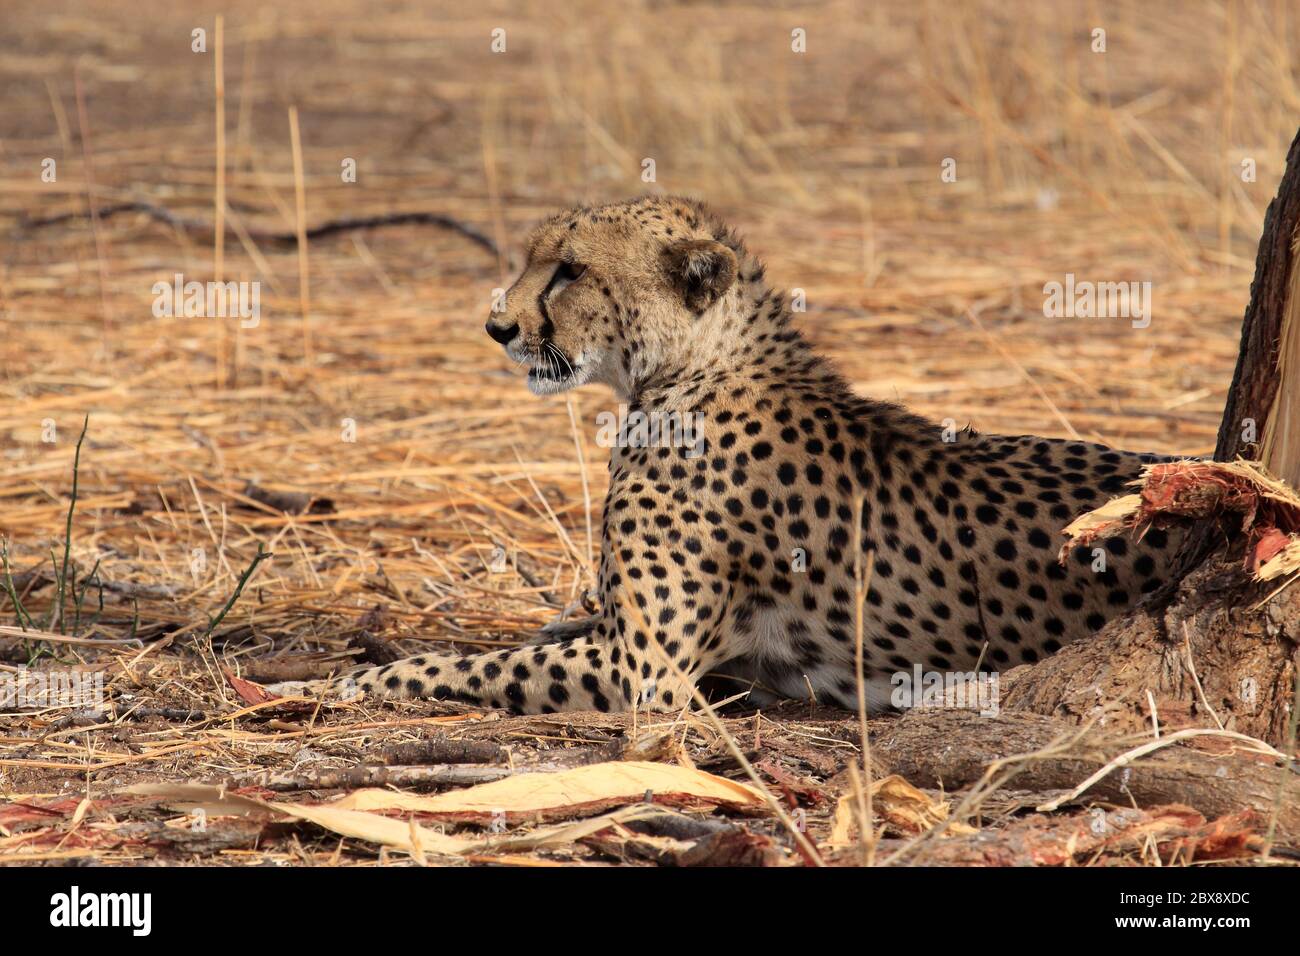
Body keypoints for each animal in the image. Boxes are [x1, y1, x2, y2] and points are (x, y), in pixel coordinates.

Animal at [271, 196, 1180, 712]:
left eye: (569, 271)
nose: (497, 328)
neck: (691, 370)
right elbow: (533, 632)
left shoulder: (639, 667)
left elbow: (459, 665)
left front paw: (345, 683)